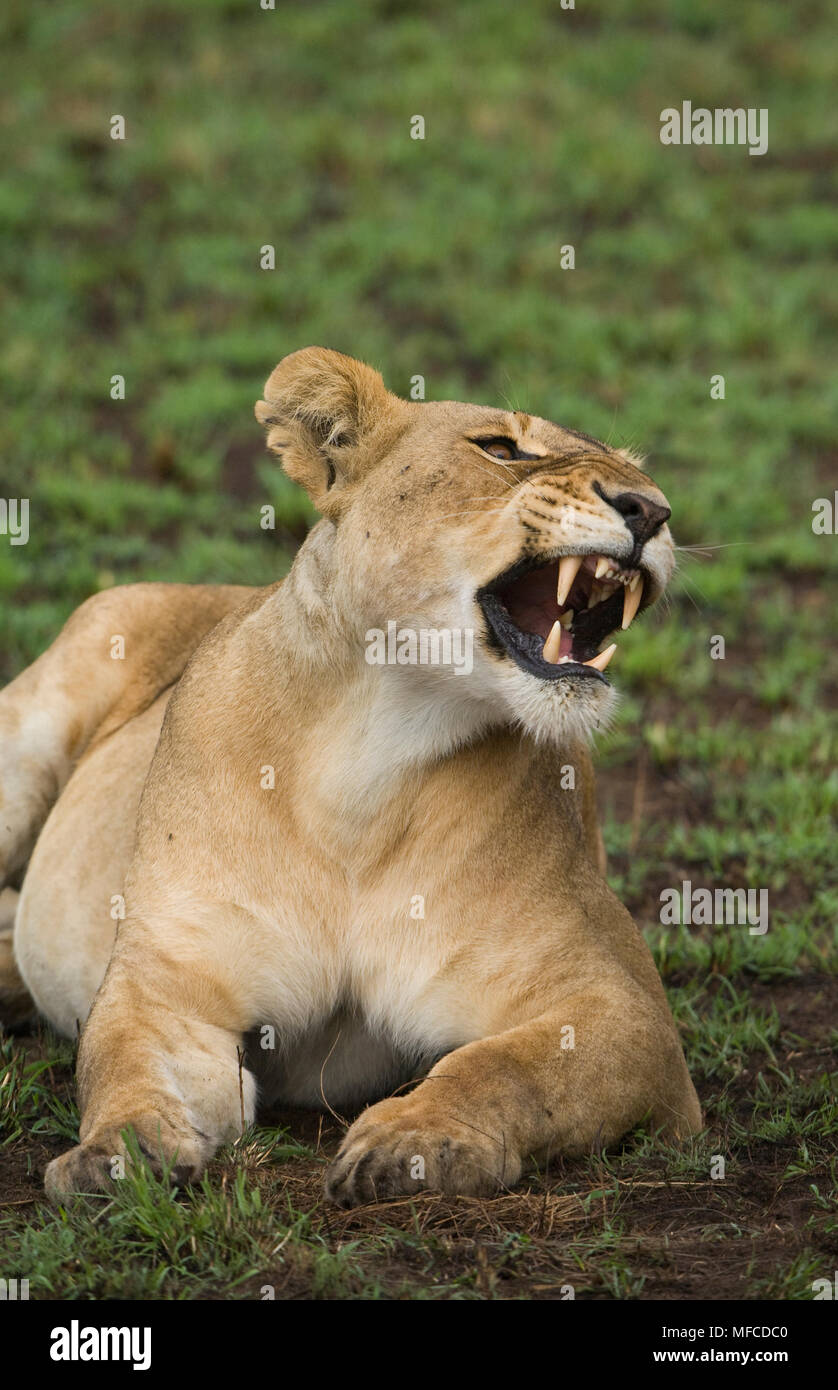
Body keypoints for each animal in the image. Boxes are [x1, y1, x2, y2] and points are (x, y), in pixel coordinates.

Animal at [0, 348, 701, 1205]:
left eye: (643, 477)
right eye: (502, 449)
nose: (651, 511)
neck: (369, 755)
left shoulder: (617, 1005)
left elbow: (504, 1065)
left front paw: (414, 1139)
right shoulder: (168, 984)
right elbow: (121, 1065)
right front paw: (117, 1153)